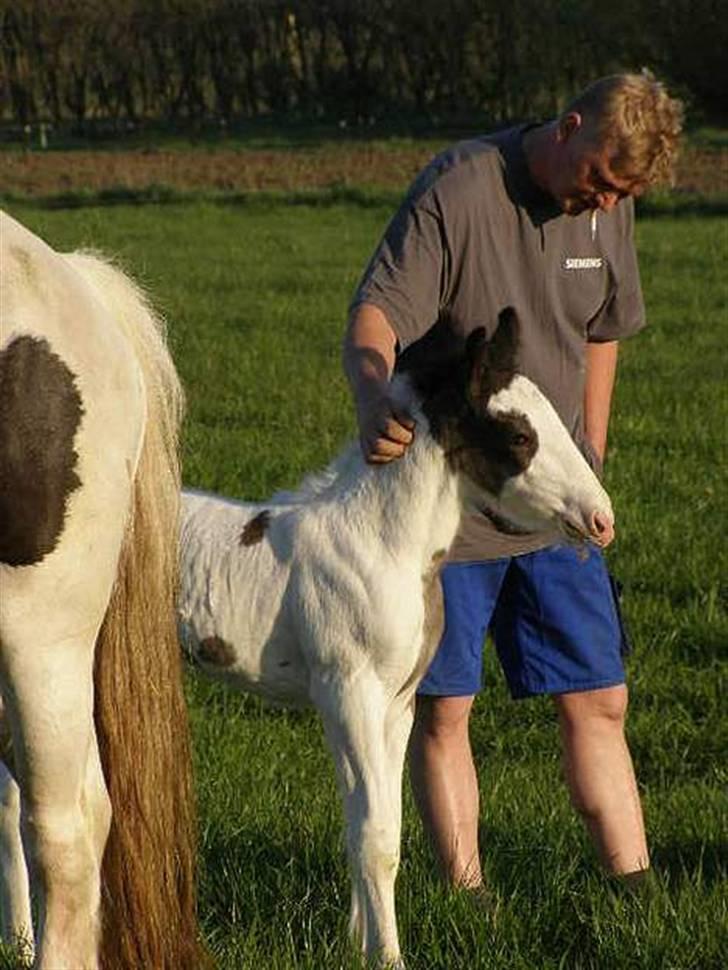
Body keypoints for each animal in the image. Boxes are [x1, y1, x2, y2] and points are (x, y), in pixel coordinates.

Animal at [178, 306, 616, 964]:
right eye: (518, 436)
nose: (601, 518)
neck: (379, 544)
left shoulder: (393, 704)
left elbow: (378, 821)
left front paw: (355, 942)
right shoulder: (349, 694)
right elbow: (375, 835)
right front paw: (387, 956)